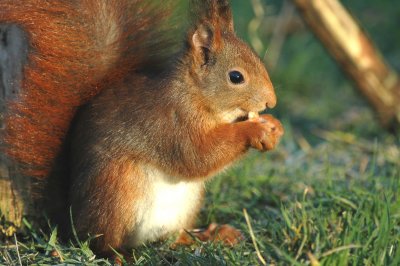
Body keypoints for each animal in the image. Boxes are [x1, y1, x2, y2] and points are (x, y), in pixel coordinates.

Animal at [0, 0, 282, 254]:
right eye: (236, 77)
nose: (272, 101)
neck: (195, 95)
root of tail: (70, 215)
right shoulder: (171, 121)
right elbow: (198, 156)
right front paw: (255, 131)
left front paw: (274, 126)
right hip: (117, 191)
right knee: (100, 243)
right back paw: (118, 256)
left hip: (184, 204)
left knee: (173, 238)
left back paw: (210, 235)